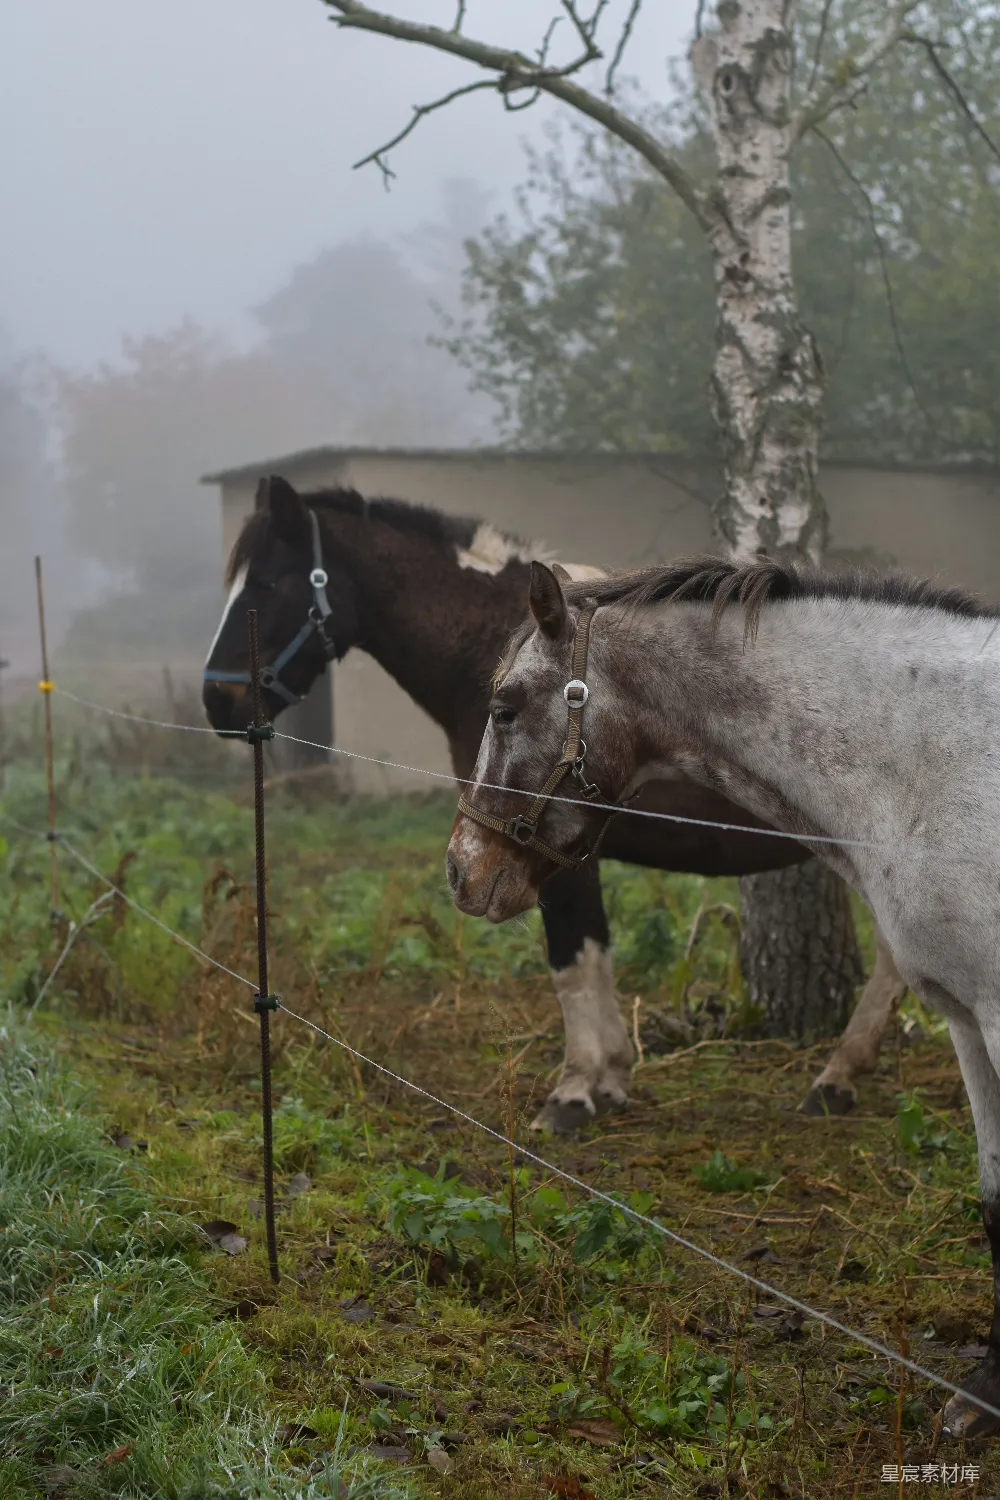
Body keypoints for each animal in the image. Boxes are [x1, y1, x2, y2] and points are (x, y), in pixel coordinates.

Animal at [203, 474, 904, 1131]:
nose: (216, 702)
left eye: (266, 582)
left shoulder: (551, 847)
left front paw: (576, 1090)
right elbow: (593, 958)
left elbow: (574, 961)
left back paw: (836, 1078)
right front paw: (611, 1076)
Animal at [447, 555, 1000, 1438]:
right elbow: (993, 1198)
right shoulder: (966, 1020)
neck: (935, 761)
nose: (462, 869)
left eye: (504, 708)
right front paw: (986, 1393)